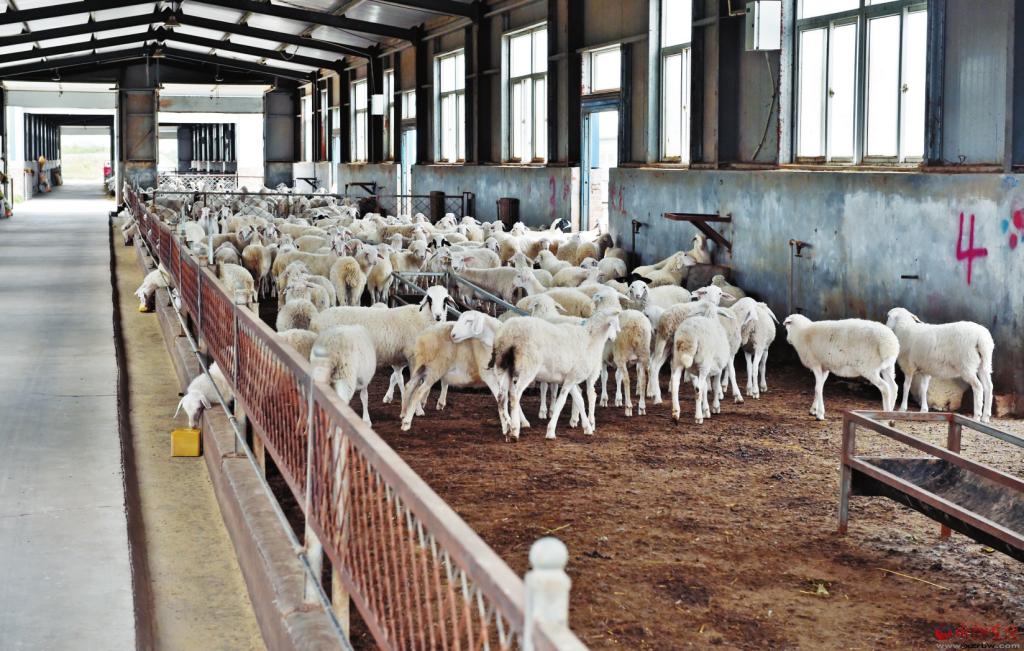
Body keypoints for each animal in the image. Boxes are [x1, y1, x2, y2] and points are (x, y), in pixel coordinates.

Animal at [311, 286, 453, 405]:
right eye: (430, 299)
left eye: (445, 300)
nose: (438, 316)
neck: (422, 318)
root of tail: (316, 320)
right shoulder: (412, 356)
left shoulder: (399, 356)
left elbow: (396, 377)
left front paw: (390, 397)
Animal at [491, 309, 621, 441]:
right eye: (616, 322)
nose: (615, 337)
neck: (591, 339)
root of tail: (510, 334)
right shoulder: (572, 378)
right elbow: (561, 402)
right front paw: (551, 431)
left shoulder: (570, 378)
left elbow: (579, 400)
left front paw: (587, 428)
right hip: (527, 369)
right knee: (515, 395)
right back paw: (514, 430)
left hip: (504, 368)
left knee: (501, 396)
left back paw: (507, 428)